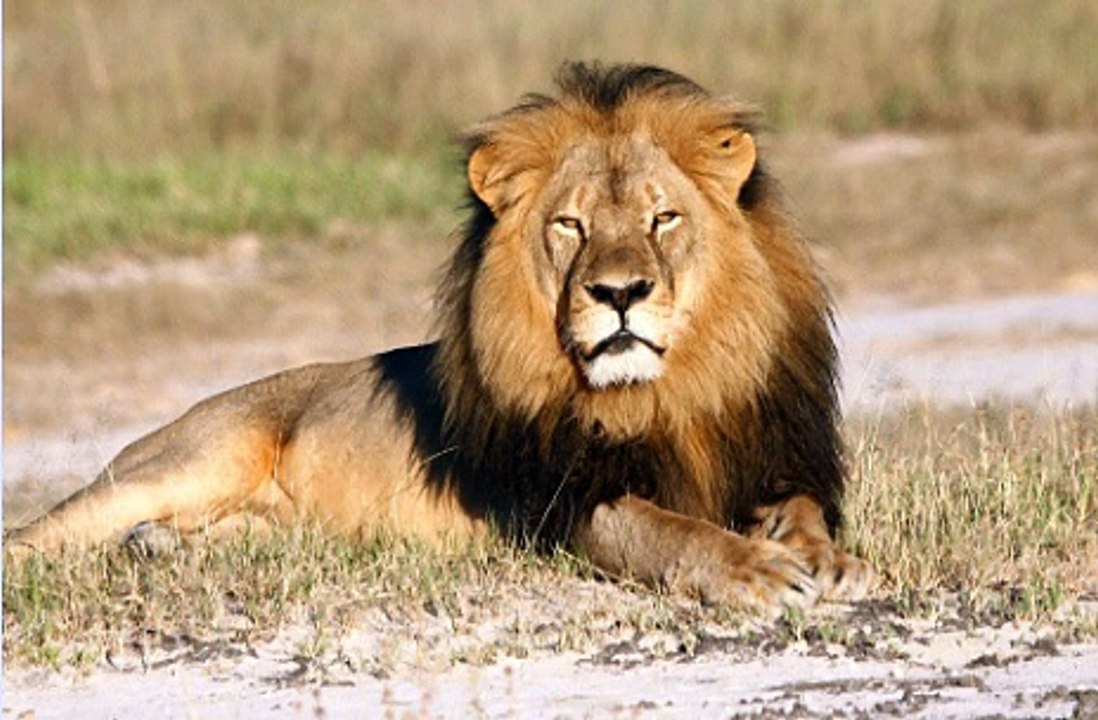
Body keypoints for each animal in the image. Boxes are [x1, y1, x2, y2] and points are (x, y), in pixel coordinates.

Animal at [6, 63, 872, 614]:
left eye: (664, 218)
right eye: (571, 225)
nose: (619, 293)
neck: (668, 393)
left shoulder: (770, 458)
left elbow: (803, 511)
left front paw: (826, 561)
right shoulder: (561, 505)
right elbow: (668, 531)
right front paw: (756, 572)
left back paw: (159, 550)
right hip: (189, 460)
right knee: (34, 534)